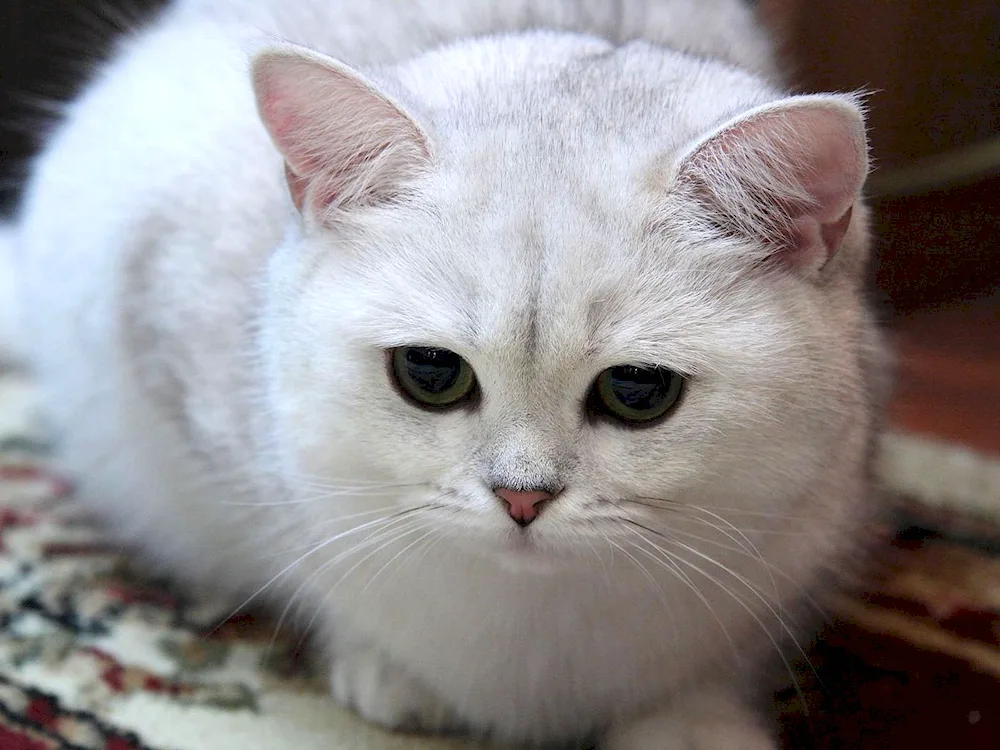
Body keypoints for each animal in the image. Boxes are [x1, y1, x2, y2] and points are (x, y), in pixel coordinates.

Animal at [3, 0, 888, 748]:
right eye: (430, 373)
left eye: (639, 392)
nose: (522, 498)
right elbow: (309, 568)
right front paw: (388, 667)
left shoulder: (812, 537)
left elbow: (720, 664)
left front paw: (696, 725)